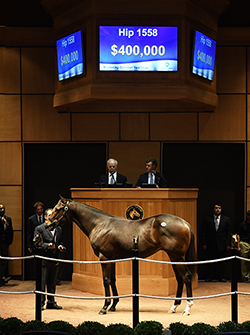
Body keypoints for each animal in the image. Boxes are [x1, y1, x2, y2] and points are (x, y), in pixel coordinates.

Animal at [46, 196, 196, 316]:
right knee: (180, 279)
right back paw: (174, 307)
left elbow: (106, 280)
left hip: (177, 257)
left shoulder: (104, 258)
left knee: (186, 277)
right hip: (174, 257)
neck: (100, 224)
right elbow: (113, 279)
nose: (47, 225)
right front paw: (113, 305)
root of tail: (184, 223)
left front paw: (104, 307)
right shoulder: (112, 258)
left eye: (57, 209)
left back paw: (187, 309)